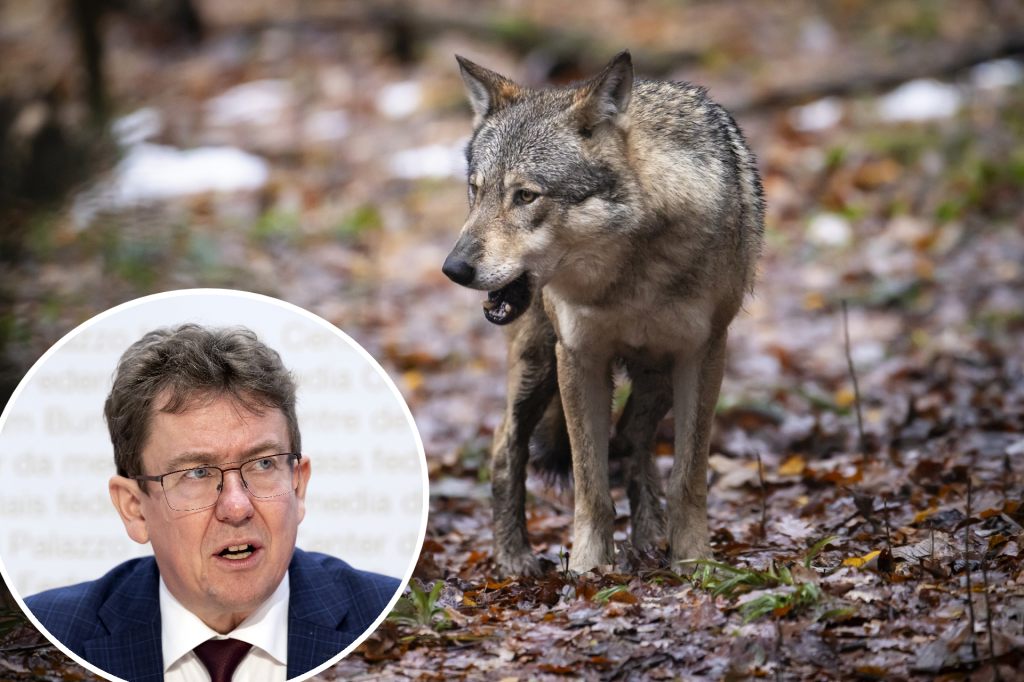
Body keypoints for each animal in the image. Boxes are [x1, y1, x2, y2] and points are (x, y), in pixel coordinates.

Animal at [442, 51, 764, 576]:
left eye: (525, 195)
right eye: (476, 191)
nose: (453, 268)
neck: (629, 276)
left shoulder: (702, 354)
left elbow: (688, 477)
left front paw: (694, 562)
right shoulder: (579, 356)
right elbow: (590, 485)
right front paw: (588, 571)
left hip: (656, 377)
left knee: (632, 438)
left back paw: (649, 536)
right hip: (537, 366)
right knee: (504, 446)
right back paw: (514, 558)